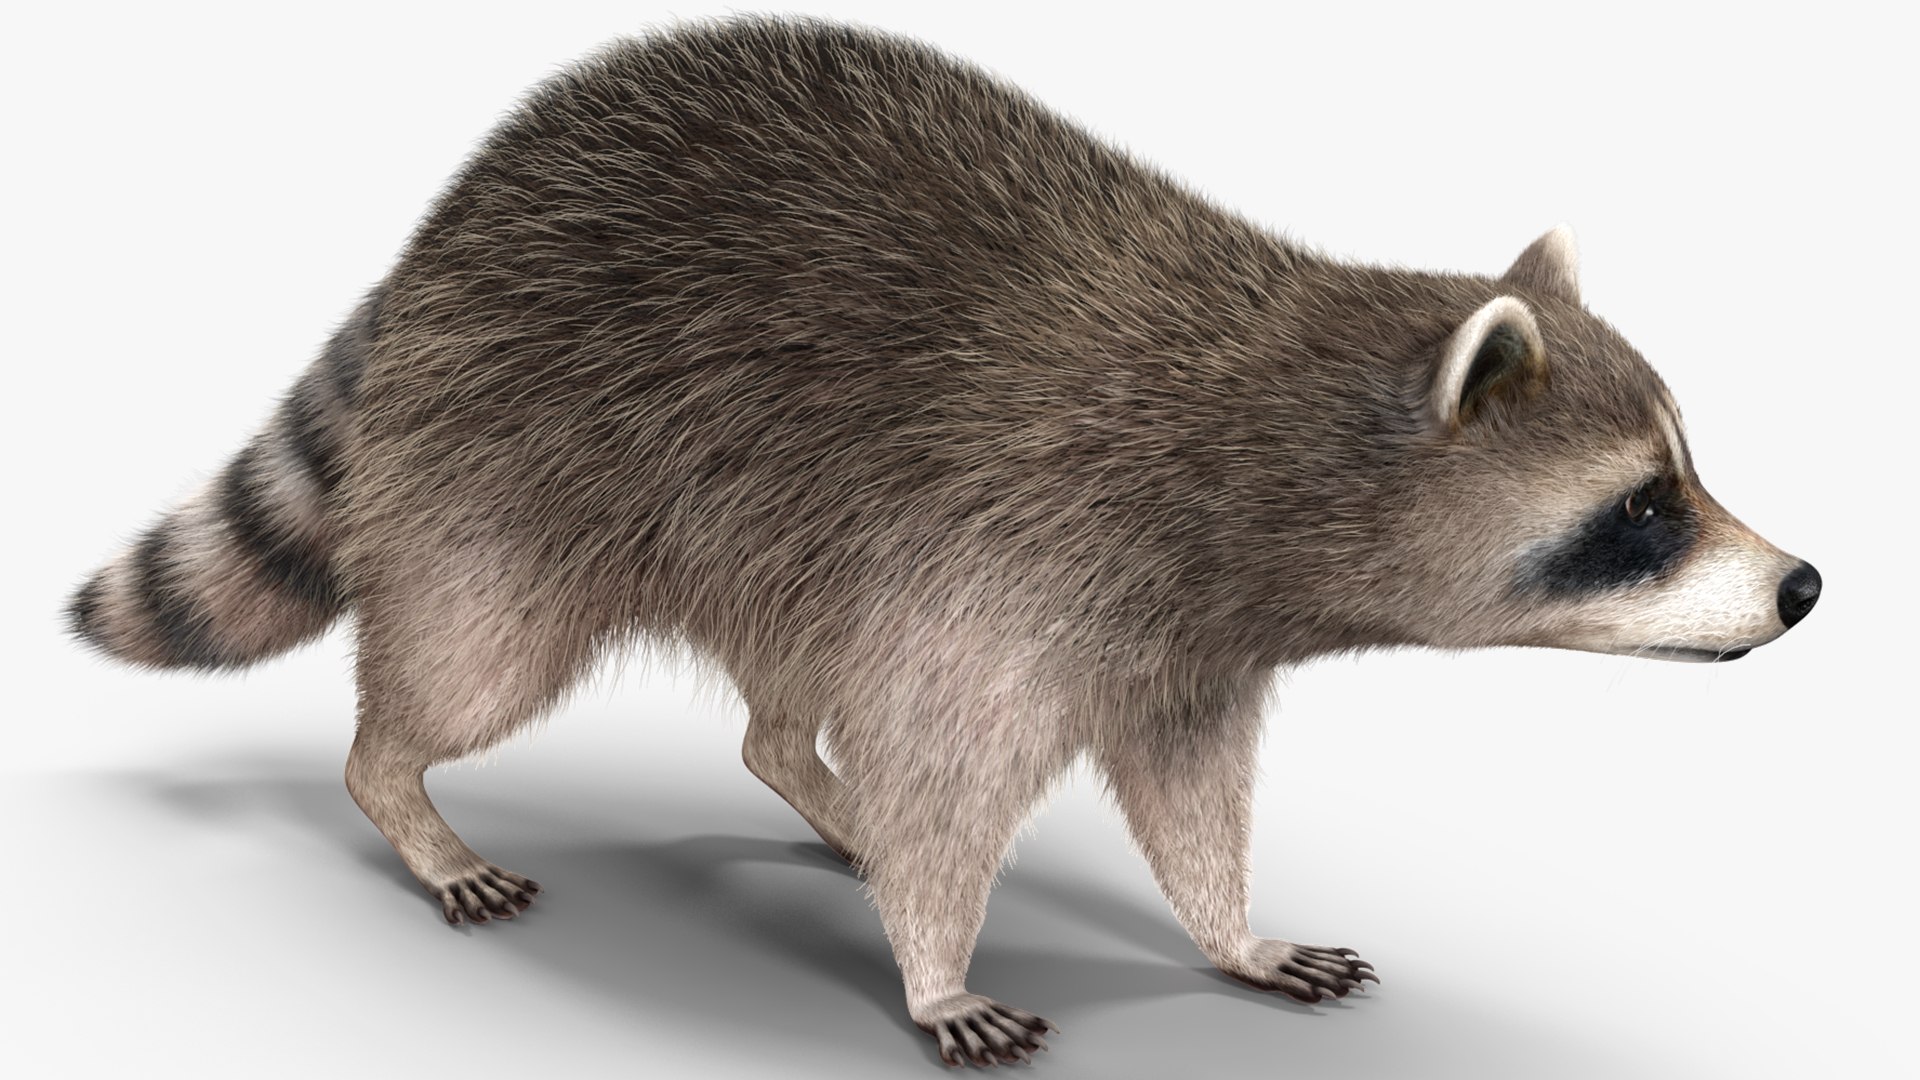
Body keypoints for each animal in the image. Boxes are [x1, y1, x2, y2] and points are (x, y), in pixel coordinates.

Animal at [66, 15, 1820, 1069]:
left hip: (771, 521)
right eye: (1644, 510)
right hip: (524, 448)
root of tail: (456, 211)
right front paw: (933, 968)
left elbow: (1183, 791)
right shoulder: (1014, 543)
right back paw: (402, 791)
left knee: (781, 699)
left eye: (1685, 474)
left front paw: (1228, 928)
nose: (1805, 585)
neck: (1264, 429)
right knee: (471, 660)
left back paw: (802, 777)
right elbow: (945, 765)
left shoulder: (1176, 629)